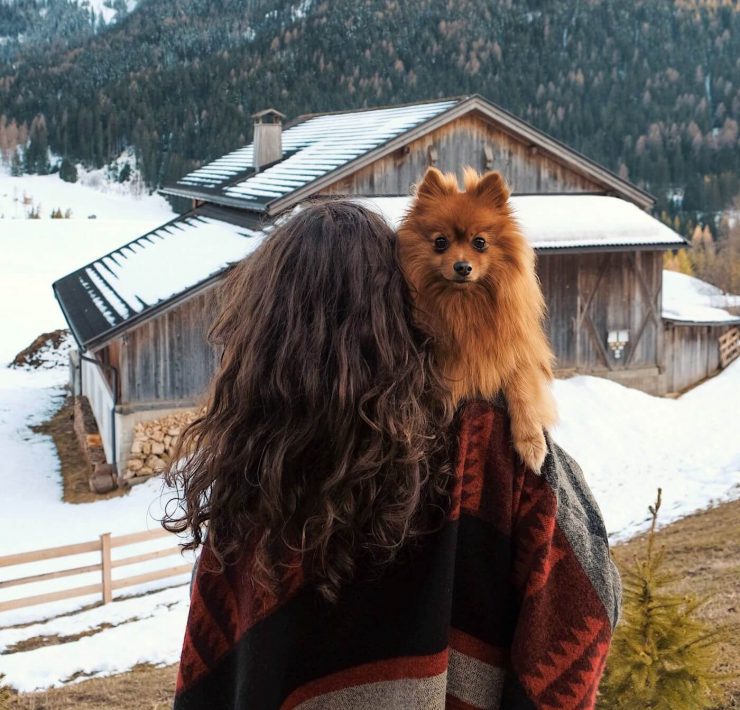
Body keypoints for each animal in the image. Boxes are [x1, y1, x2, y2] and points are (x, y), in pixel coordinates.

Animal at [398, 167, 556, 472]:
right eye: (441, 242)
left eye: (479, 243)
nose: (462, 266)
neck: (465, 304)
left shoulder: (519, 351)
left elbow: (523, 388)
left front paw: (531, 442)